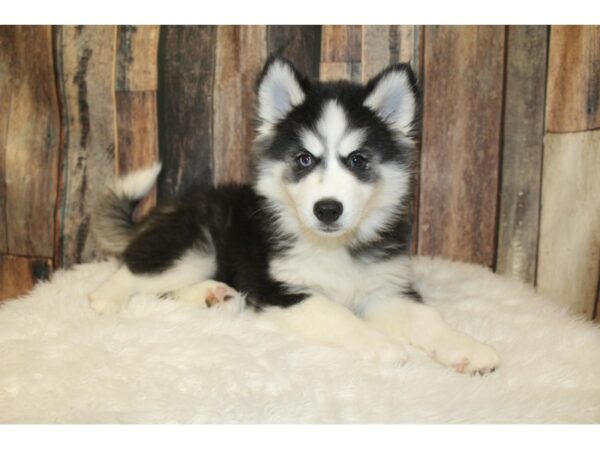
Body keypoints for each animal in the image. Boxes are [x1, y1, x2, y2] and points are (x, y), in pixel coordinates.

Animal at [89, 55, 500, 372]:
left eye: (358, 160)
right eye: (304, 159)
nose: (328, 209)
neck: (333, 248)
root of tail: (168, 209)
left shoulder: (386, 288)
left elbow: (428, 319)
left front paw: (468, 348)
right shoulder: (282, 289)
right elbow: (337, 314)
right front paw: (383, 345)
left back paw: (213, 295)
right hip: (195, 246)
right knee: (132, 273)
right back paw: (104, 301)